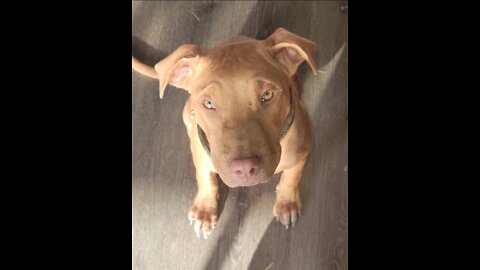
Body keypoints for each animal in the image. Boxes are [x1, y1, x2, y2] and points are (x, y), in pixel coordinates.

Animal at [132, 27, 318, 238]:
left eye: (267, 95)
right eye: (208, 103)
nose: (245, 168)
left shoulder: (303, 151)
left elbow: (292, 176)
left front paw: (287, 202)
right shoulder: (202, 157)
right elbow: (205, 178)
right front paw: (204, 209)